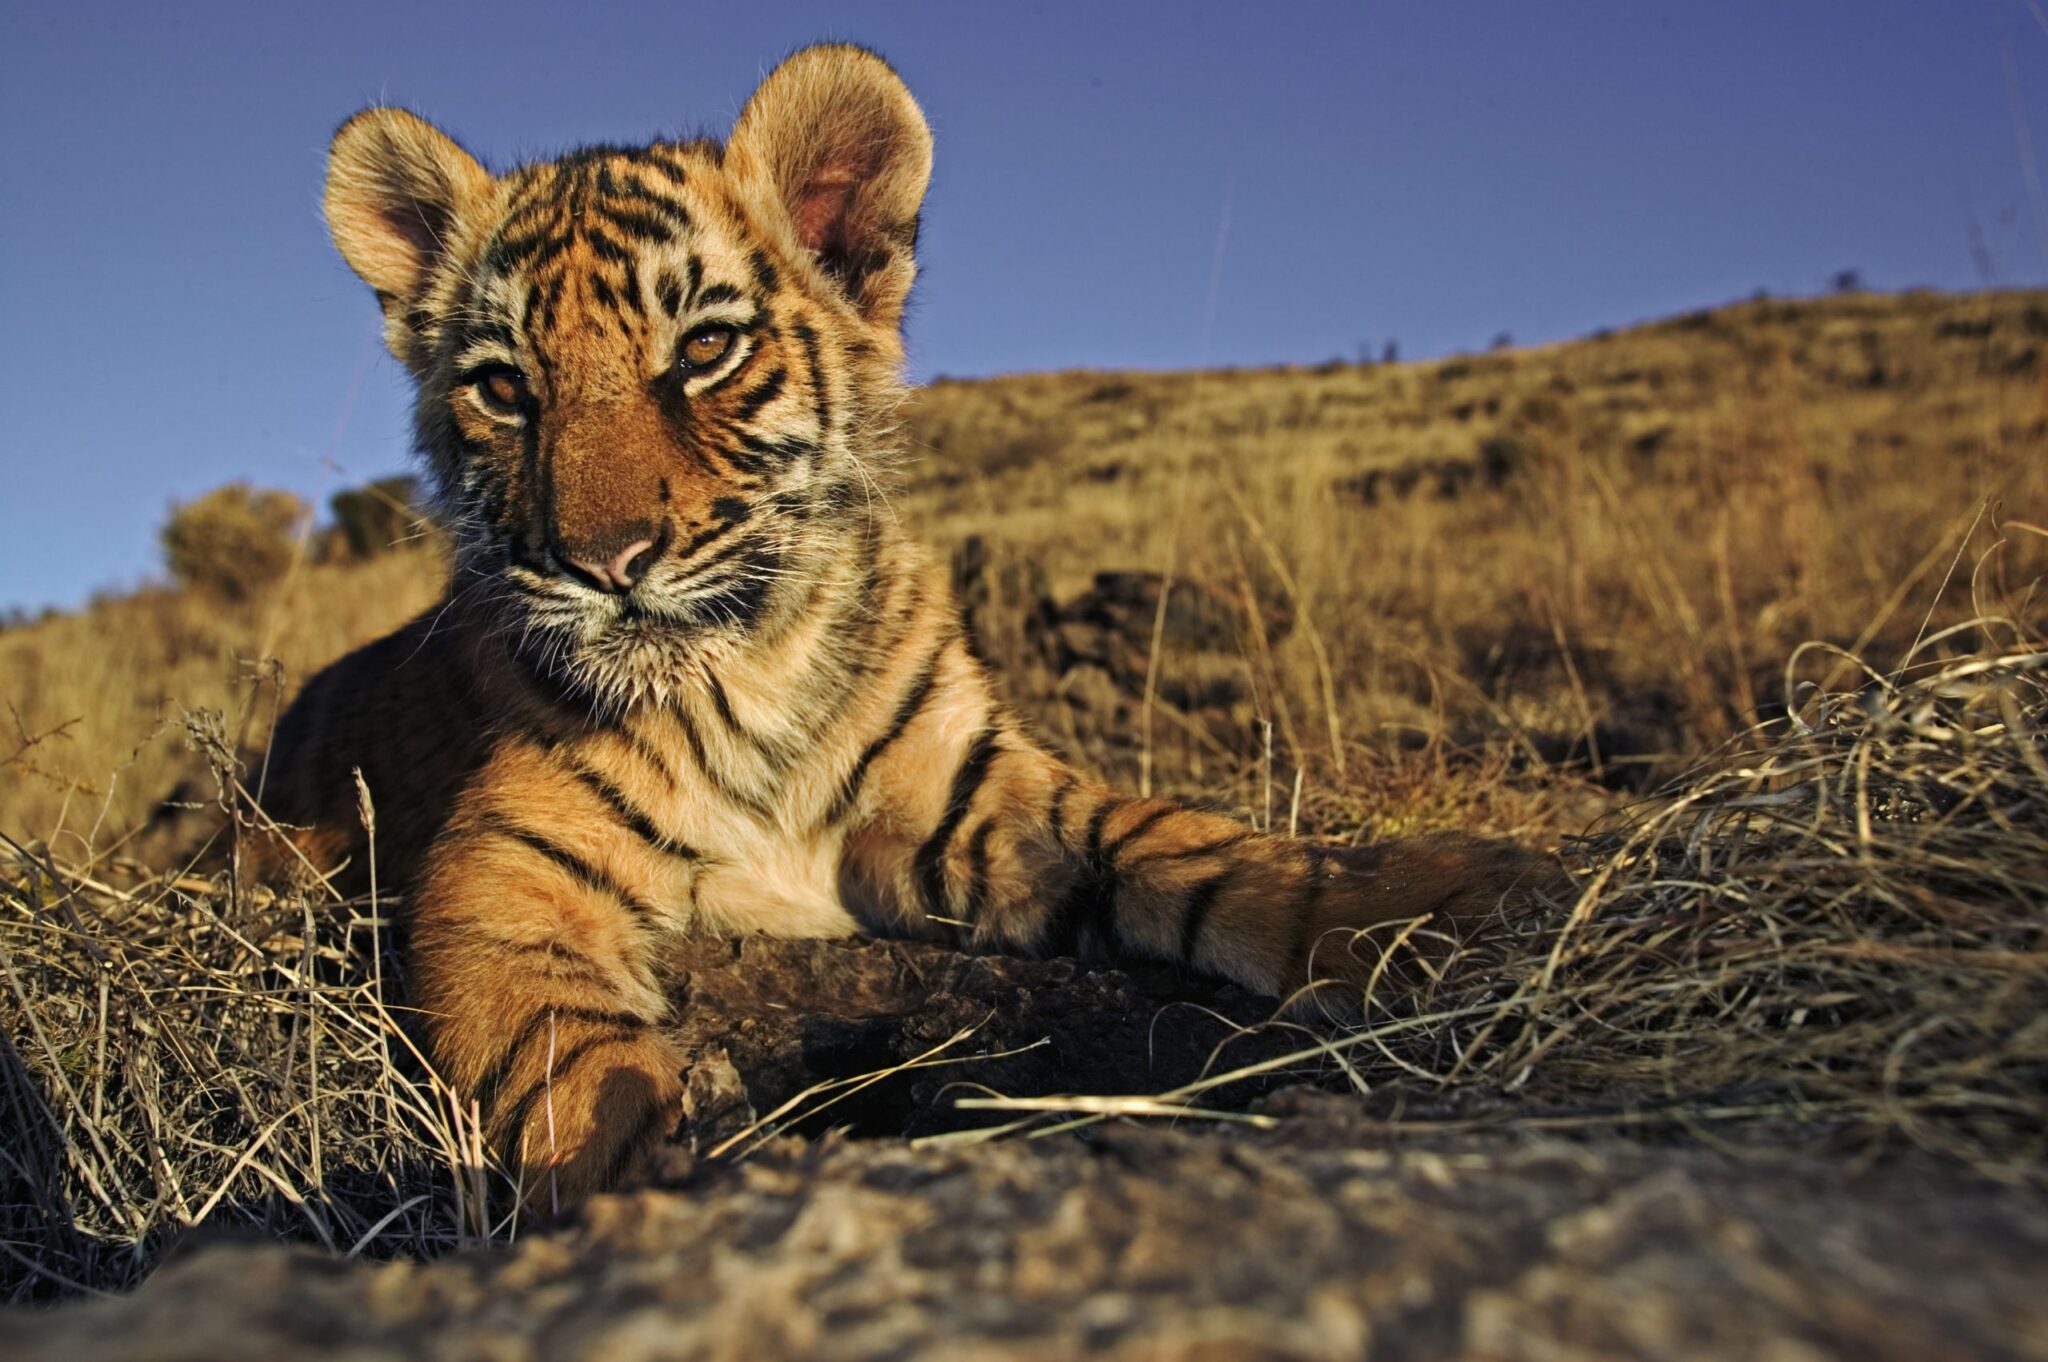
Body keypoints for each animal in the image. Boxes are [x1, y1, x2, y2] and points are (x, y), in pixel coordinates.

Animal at [263, 43, 1558, 1206]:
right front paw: (655, 1173)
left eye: (703, 349)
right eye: (503, 389)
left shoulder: (970, 798)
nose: (603, 560)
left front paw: (1442, 904)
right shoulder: (502, 872)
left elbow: (1186, 844)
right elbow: (561, 1052)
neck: (744, 674)